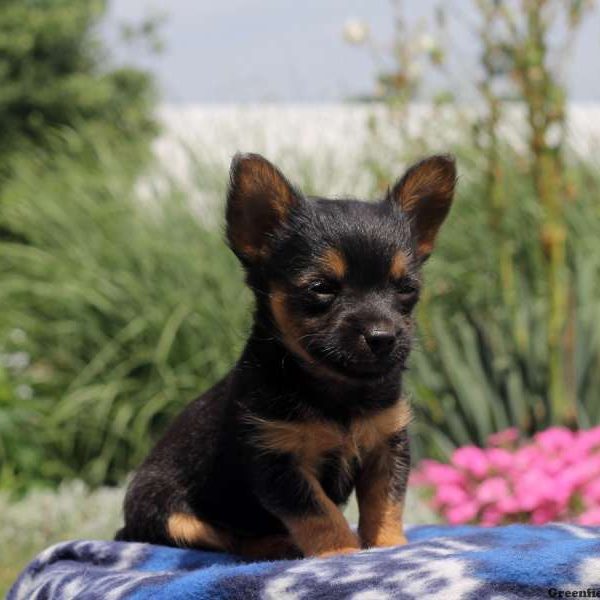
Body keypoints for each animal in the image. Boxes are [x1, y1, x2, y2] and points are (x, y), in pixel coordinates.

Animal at [116, 152, 454, 560]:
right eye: (321, 288)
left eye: (406, 288)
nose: (383, 337)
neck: (337, 392)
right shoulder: (277, 463)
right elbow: (319, 513)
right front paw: (342, 552)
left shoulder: (386, 447)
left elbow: (385, 504)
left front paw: (389, 546)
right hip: (170, 515)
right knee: (229, 538)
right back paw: (278, 544)